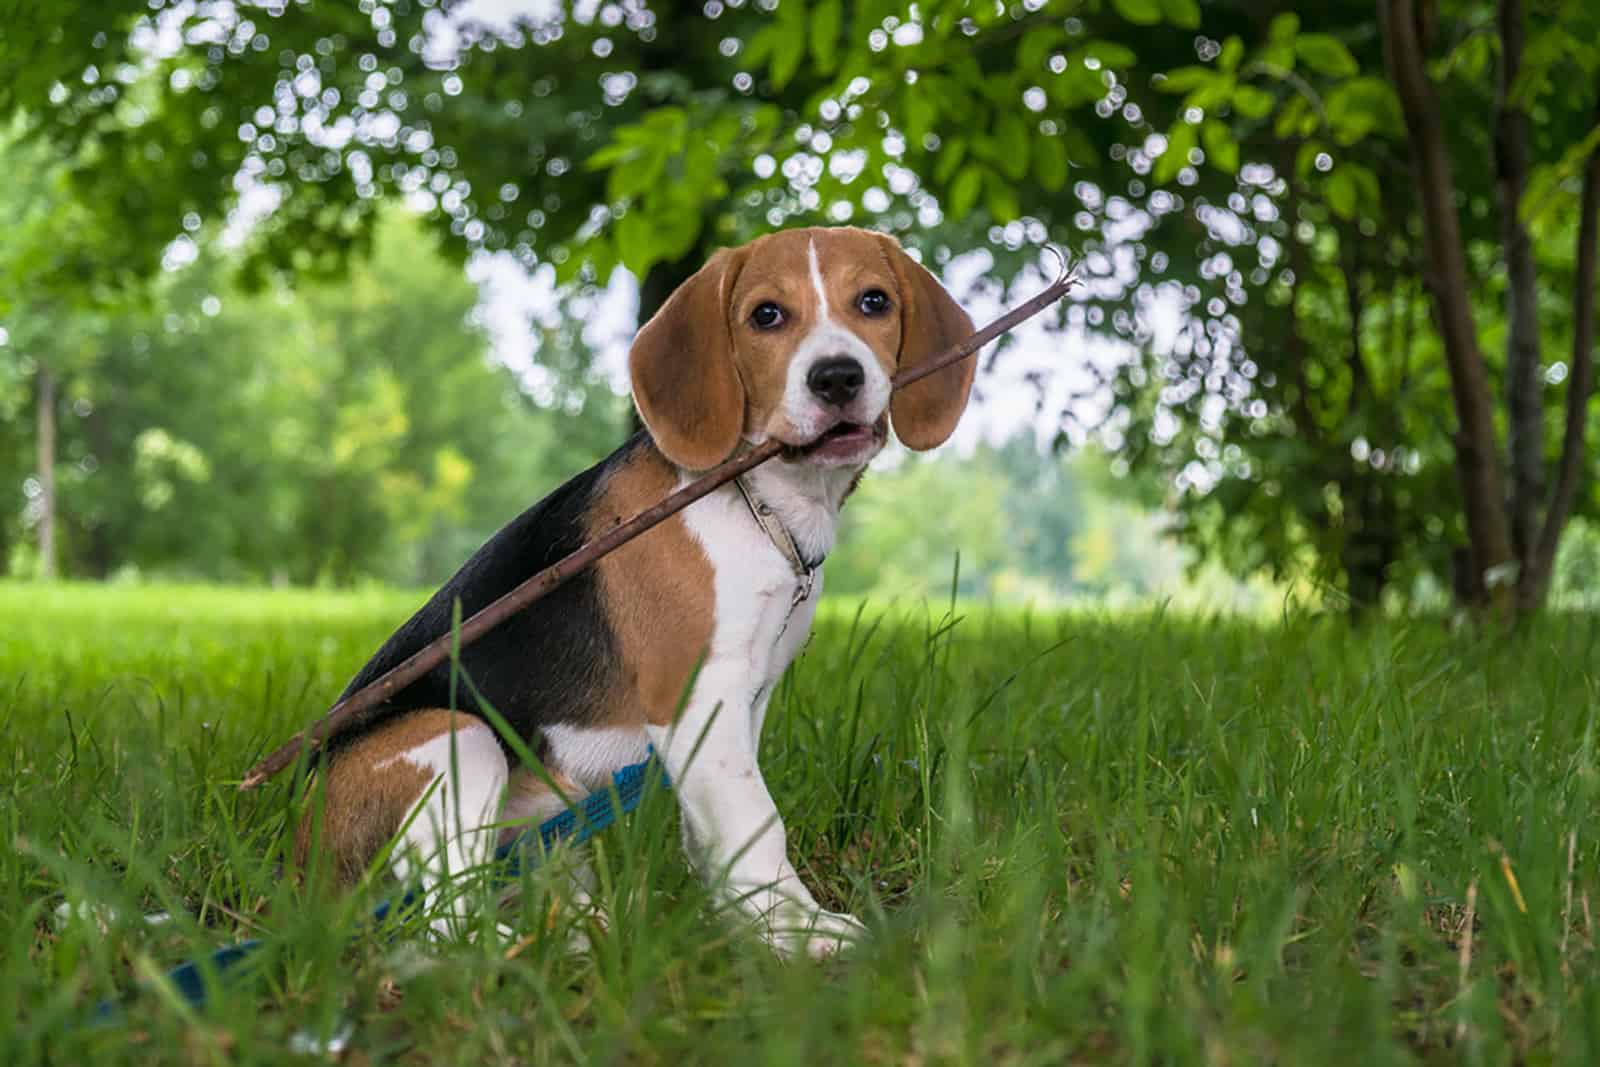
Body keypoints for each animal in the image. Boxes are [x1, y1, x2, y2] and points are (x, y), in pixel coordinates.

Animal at [297, 225, 972, 959]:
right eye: (766, 315)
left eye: (874, 301)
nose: (838, 376)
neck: (759, 500)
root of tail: (303, 872)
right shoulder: (699, 697)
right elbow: (758, 821)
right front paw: (803, 932)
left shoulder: (746, 700)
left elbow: (715, 833)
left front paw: (746, 925)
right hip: (455, 738)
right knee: (443, 913)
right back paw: (530, 948)